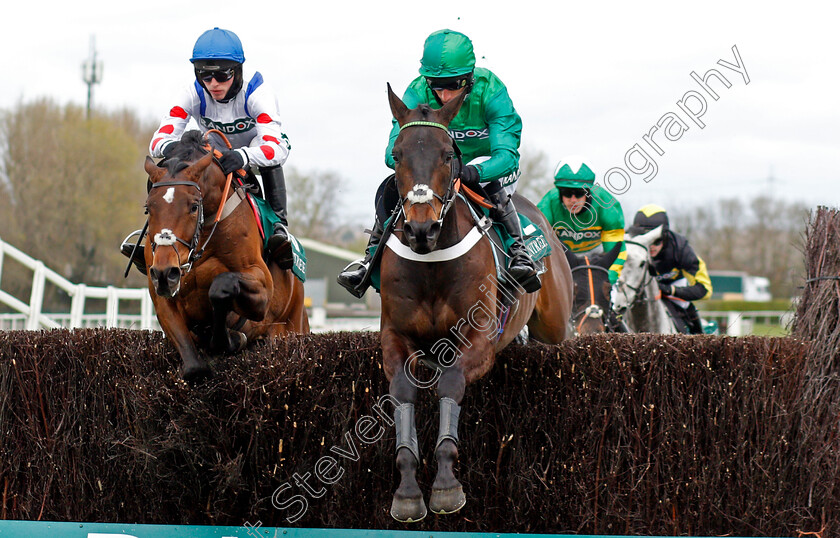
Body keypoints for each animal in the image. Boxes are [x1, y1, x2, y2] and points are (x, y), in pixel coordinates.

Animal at [143, 131, 310, 378]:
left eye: (194, 206)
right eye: (148, 208)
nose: (166, 273)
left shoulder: (262, 289)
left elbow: (221, 286)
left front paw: (230, 338)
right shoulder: (162, 296)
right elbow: (194, 368)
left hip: (290, 329)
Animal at [382, 84, 576, 520]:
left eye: (448, 154)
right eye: (397, 153)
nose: (421, 228)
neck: (432, 260)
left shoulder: (480, 340)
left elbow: (450, 383)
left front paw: (445, 485)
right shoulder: (395, 336)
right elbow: (403, 393)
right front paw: (407, 490)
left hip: (554, 324)